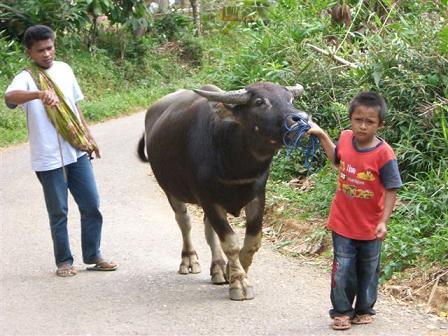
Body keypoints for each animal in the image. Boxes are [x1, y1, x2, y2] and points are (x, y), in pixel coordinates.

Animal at [138, 82, 306, 300]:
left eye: (290, 99)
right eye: (259, 102)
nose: (301, 119)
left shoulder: (257, 197)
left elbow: (252, 241)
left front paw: (232, 271)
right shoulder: (209, 200)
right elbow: (230, 242)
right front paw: (239, 283)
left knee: (208, 231)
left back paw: (217, 267)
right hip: (171, 191)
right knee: (184, 222)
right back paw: (189, 259)